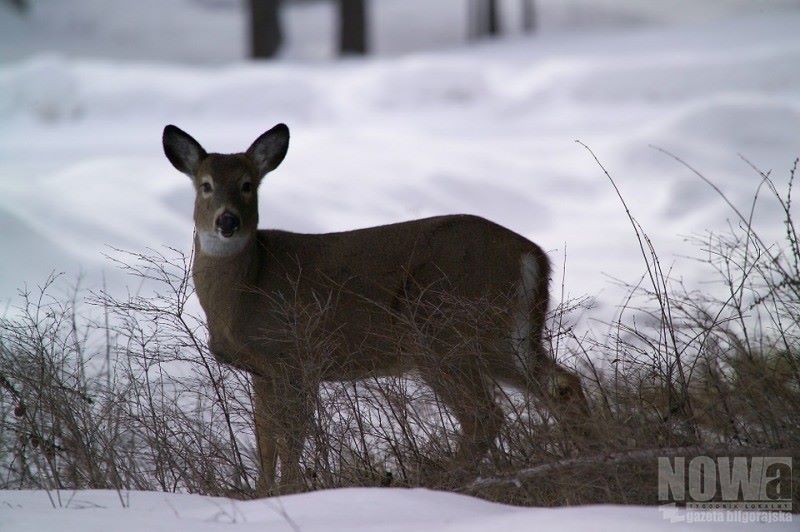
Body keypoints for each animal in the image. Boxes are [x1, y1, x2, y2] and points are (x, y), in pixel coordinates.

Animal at [162, 121, 592, 494]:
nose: (228, 221)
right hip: (503, 337)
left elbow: (291, 436)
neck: (247, 289)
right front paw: (263, 494)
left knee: (485, 414)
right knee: (562, 384)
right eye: (205, 186)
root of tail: (533, 255)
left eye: (247, 185)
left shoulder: (296, 356)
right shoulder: (263, 370)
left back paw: (443, 480)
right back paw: (587, 449)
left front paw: (290, 491)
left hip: (440, 328)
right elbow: (264, 437)